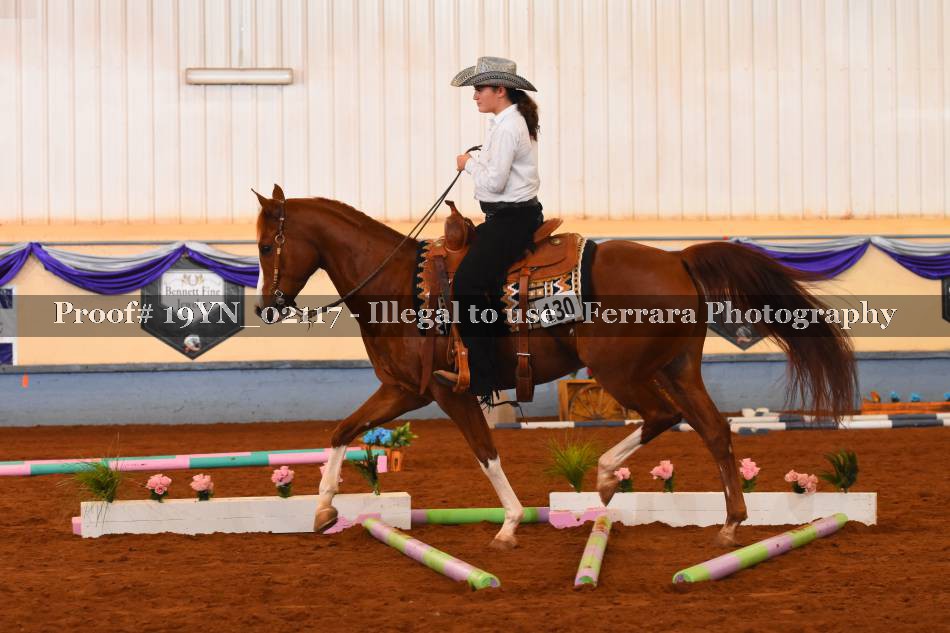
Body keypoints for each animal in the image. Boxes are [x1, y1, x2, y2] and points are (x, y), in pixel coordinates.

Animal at [253, 184, 856, 550]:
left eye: (265, 246)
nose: (266, 307)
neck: (401, 285)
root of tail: (677, 258)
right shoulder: (404, 389)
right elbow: (341, 431)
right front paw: (323, 511)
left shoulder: (447, 392)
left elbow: (486, 454)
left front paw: (510, 525)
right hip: (679, 367)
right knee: (714, 429)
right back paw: (730, 524)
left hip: (623, 372)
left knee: (663, 418)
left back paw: (607, 477)